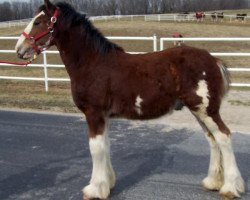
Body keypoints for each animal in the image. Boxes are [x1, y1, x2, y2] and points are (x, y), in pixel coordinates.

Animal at [16, 0, 246, 199]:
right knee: (212, 139)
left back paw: (230, 187)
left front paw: (94, 189)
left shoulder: (94, 113)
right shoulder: (104, 116)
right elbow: (106, 145)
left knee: (224, 136)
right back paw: (212, 182)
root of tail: (213, 60)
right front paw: (107, 183)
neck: (93, 63)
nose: (19, 49)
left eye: (38, 22)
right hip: (199, 110)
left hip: (206, 109)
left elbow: (96, 148)